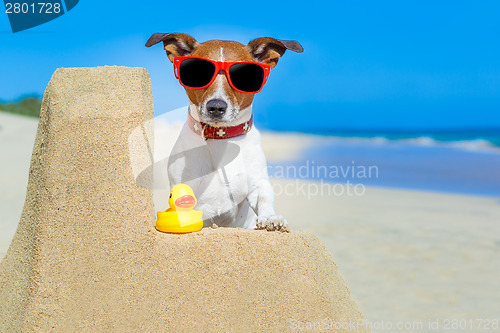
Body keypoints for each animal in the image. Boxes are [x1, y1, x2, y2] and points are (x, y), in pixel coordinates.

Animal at [146, 33, 302, 231]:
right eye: (197, 73)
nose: (216, 106)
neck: (220, 137)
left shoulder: (257, 182)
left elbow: (264, 198)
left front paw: (270, 218)